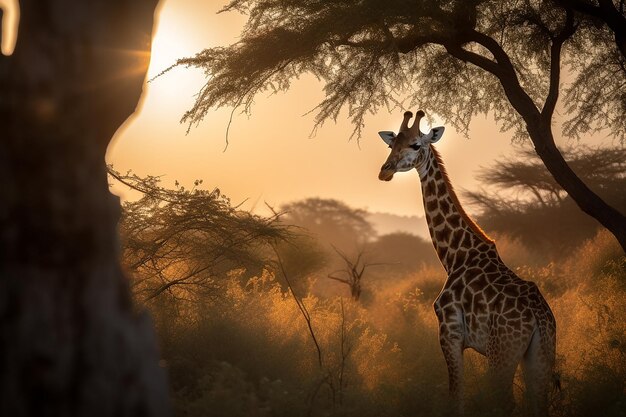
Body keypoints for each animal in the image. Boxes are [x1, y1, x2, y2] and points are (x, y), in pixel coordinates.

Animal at [378, 109, 552, 414]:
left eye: (416, 145)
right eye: (392, 143)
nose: (384, 171)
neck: (455, 255)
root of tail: (540, 316)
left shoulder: (449, 332)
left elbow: (455, 396)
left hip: (501, 353)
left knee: (506, 403)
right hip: (541, 353)